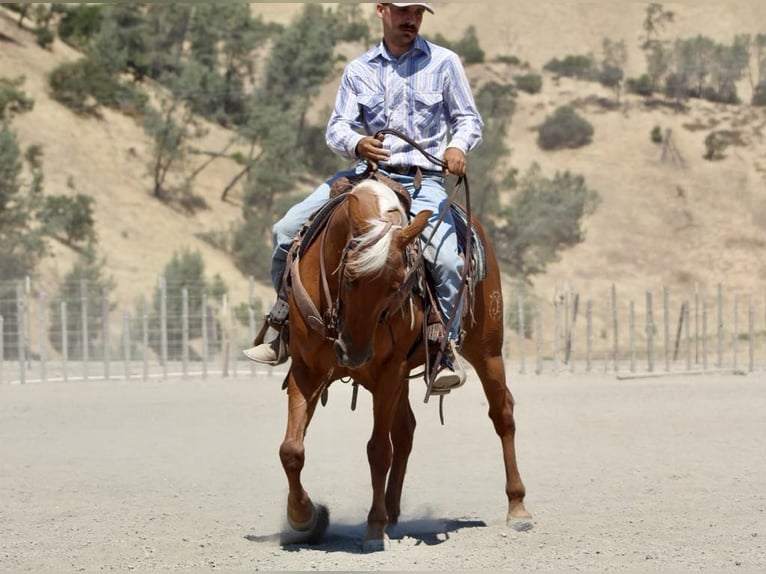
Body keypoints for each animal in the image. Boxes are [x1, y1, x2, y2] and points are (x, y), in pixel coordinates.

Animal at [278, 178, 536, 552]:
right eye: (349, 277)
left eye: (397, 285)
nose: (353, 354)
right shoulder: (306, 370)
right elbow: (291, 450)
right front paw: (305, 518)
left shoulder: (388, 372)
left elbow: (377, 450)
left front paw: (374, 528)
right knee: (405, 430)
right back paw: (392, 510)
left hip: (487, 350)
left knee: (502, 414)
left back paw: (517, 509)